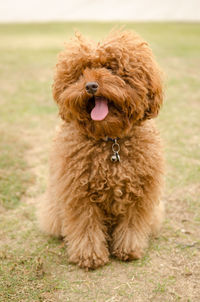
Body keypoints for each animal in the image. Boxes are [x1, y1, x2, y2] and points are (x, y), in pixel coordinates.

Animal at [38, 30, 165, 270]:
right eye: (81, 72)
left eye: (110, 68)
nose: (90, 86)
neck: (110, 141)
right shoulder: (79, 193)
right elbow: (86, 226)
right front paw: (90, 256)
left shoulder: (139, 193)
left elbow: (132, 223)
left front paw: (128, 250)